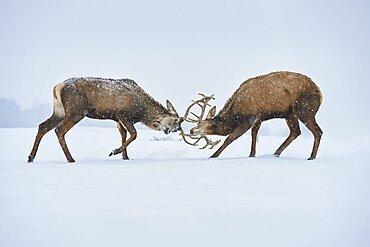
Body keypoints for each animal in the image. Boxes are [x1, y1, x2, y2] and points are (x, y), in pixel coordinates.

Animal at [27, 77, 181, 162]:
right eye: (175, 120)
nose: (175, 130)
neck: (142, 112)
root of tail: (57, 87)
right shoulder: (123, 113)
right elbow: (134, 134)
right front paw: (114, 151)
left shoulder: (117, 119)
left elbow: (124, 134)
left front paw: (125, 157)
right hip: (76, 111)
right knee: (59, 130)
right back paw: (70, 159)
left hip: (59, 111)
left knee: (42, 126)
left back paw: (31, 157)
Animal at [181, 71, 320, 160]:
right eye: (198, 122)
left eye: (210, 124)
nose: (192, 130)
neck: (235, 115)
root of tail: (320, 92)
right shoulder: (259, 118)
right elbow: (254, 135)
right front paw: (252, 155)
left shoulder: (249, 118)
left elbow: (230, 138)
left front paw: (213, 155)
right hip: (290, 114)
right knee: (295, 132)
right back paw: (276, 153)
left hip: (305, 110)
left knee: (317, 131)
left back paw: (311, 157)